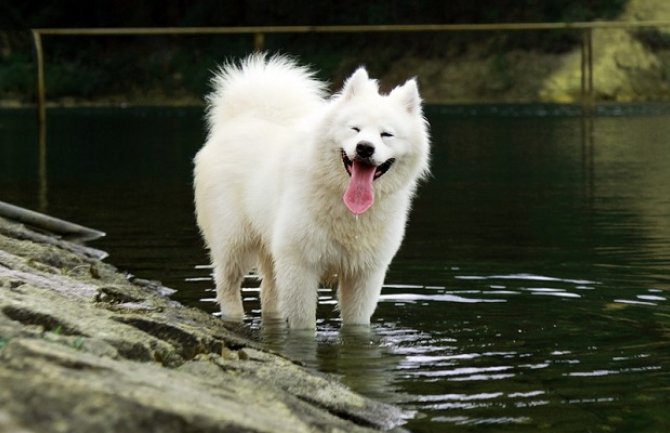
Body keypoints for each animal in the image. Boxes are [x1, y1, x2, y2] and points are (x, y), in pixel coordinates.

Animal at [194, 54, 430, 328]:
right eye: (355, 129)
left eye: (386, 134)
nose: (364, 148)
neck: (345, 207)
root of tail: (243, 118)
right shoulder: (300, 266)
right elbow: (304, 325)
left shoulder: (364, 274)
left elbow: (356, 325)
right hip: (234, 242)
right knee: (228, 285)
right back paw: (233, 318)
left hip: (271, 249)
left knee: (269, 294)